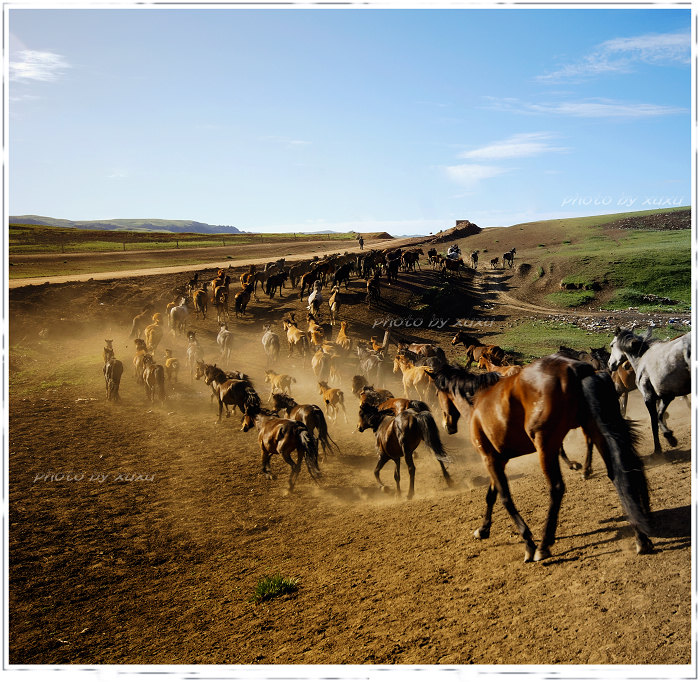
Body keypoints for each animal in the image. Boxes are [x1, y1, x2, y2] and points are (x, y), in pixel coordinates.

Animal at [426, 354, 656, 560]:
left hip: (545, 446)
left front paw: (528, 542)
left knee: (557, 488)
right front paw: (483, 530)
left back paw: (544, 545)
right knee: (618, 474)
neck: (477, 402)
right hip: (597, 432)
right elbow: (491, 495)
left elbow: (505, 498)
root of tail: (576, 369)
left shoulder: (489, 458)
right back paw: (641, 538)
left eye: (436, 393)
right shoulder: (498, 460)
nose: (447, 425)